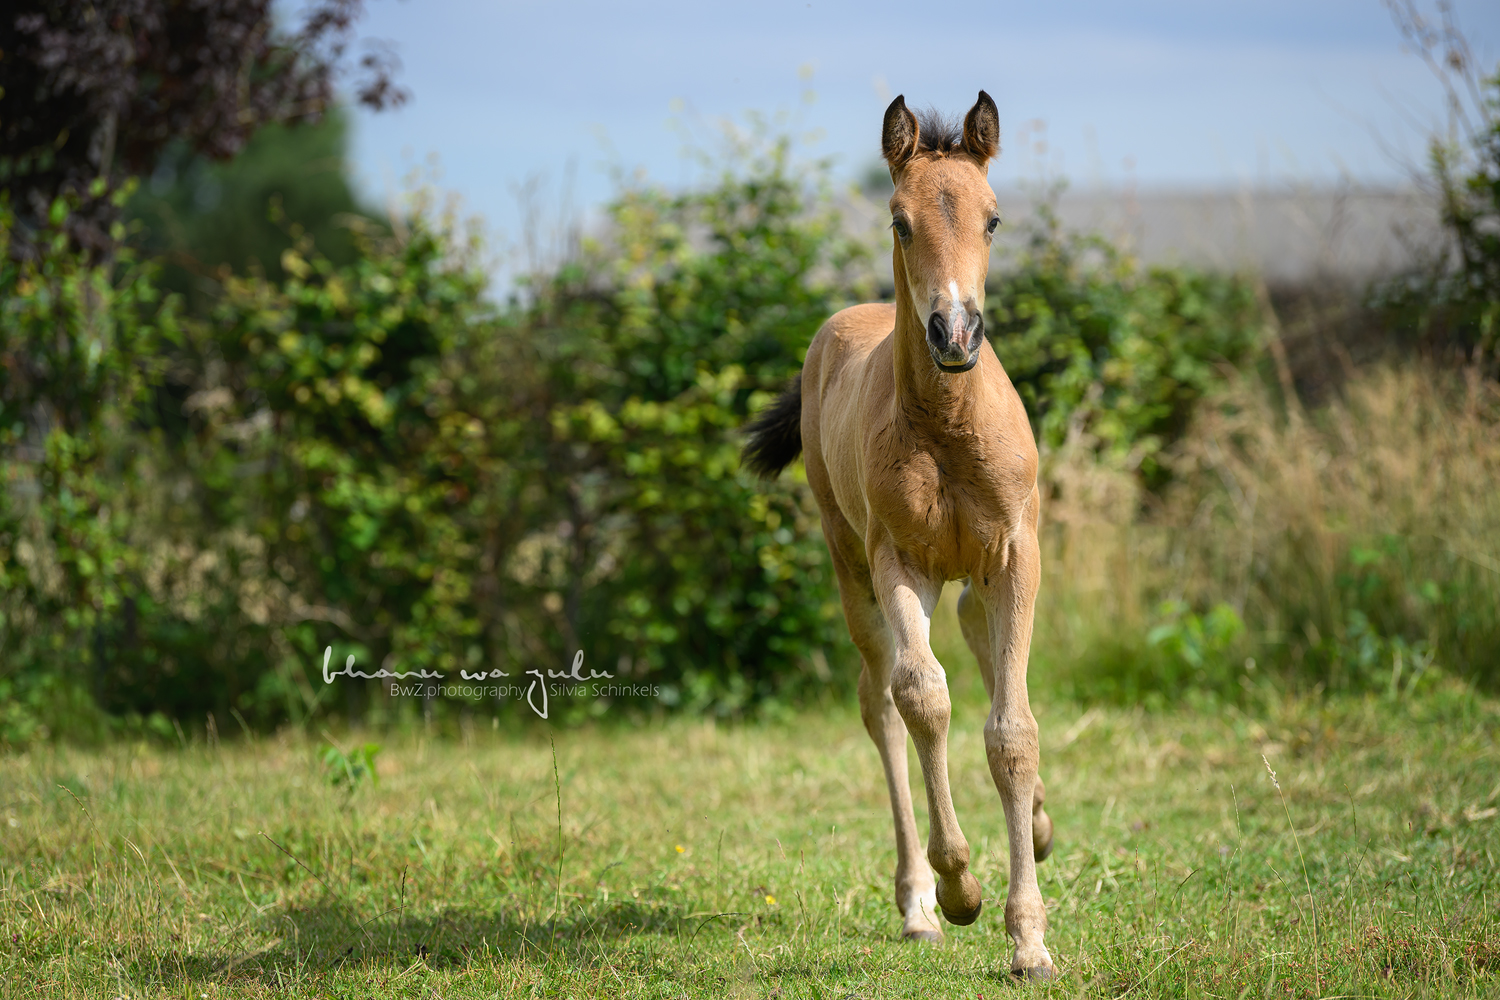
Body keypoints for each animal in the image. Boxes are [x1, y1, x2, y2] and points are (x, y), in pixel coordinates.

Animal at [741, 89, 1056, 983]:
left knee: (980, 648)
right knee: (880, 700)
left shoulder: (1015, 555)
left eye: (993, 218)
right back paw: (918, 903)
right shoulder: (898, 562)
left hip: (975, 573)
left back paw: (1039, 827)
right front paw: (962, 890)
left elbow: (1011, 731)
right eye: (900, 221)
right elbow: (924, 699)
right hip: (849, 562)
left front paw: (1031, 941)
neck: (947, 426)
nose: (955, 333)